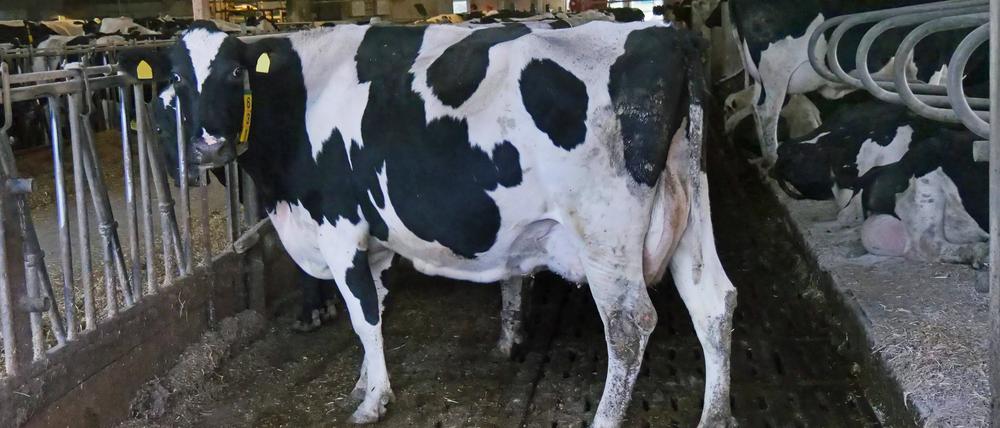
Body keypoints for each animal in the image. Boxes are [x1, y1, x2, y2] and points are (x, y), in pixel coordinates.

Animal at [119, 21, 737, 427]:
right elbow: (373, 308)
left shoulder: (339, 227)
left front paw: (374, 401)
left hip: (604, 231)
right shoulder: (371, 236)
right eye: (174, 80)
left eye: (231, 73)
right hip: (690, 207)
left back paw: (606, 419)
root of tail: (669, 35)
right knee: (714, 301)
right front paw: (363, 383)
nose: (207, 145)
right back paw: (716, 417)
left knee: (630, 325)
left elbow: (364, 314)